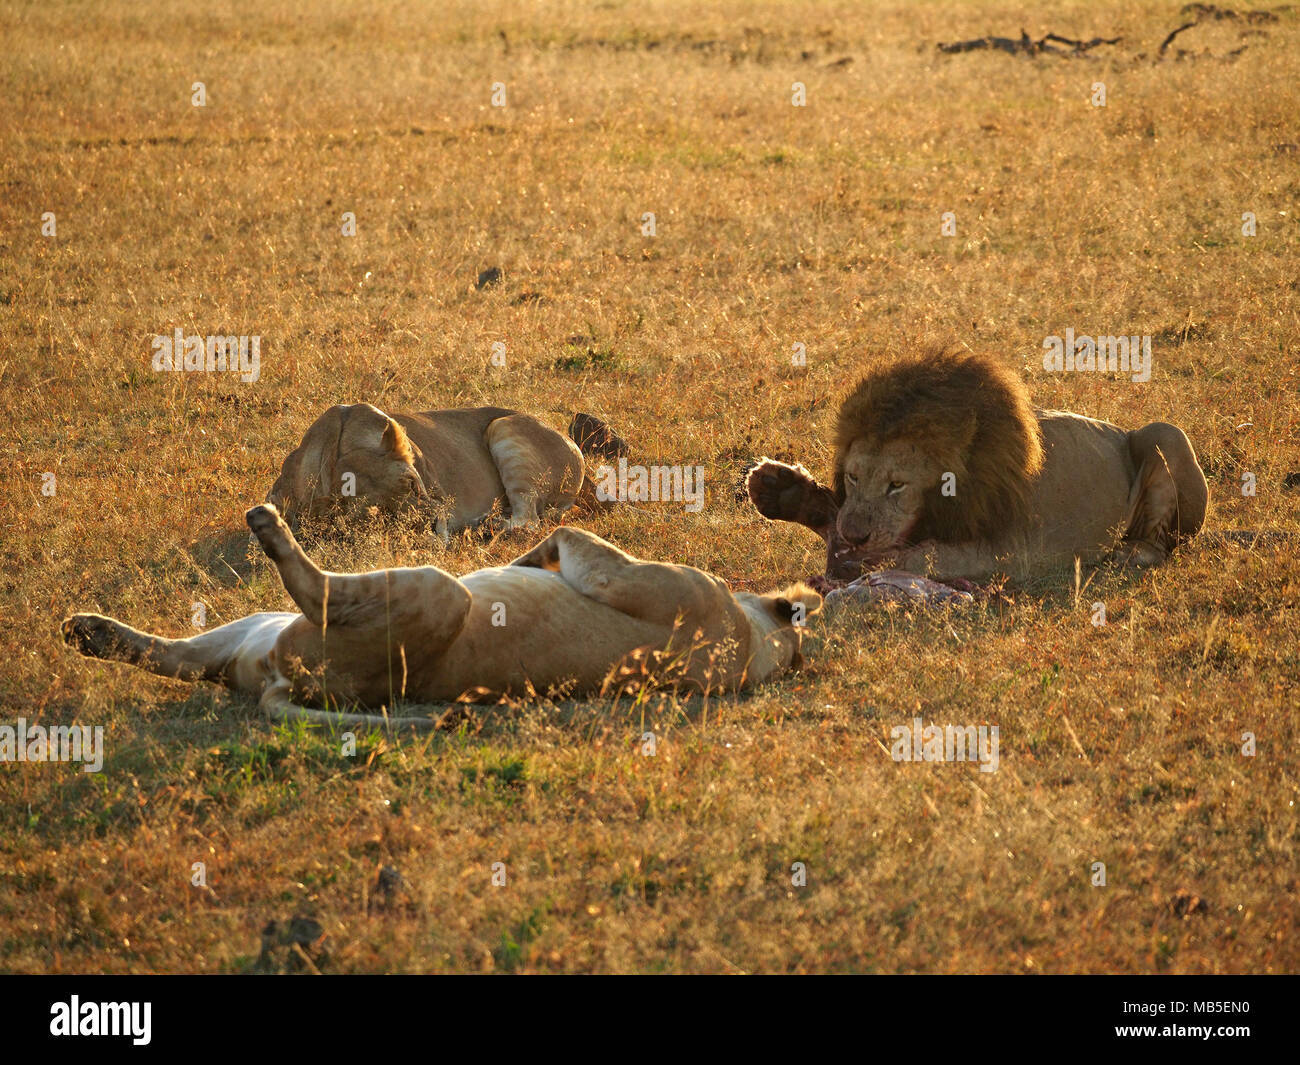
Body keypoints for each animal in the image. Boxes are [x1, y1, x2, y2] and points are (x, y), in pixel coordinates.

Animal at [748, 348, 1211, 582]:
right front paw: (782, 490)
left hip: (1164, 433)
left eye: (897, 485)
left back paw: (1130, 553)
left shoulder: (1008, 549)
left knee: (1163, 543)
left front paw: (858, 565)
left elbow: (923, 557)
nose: (855, 536)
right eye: (853, 476)